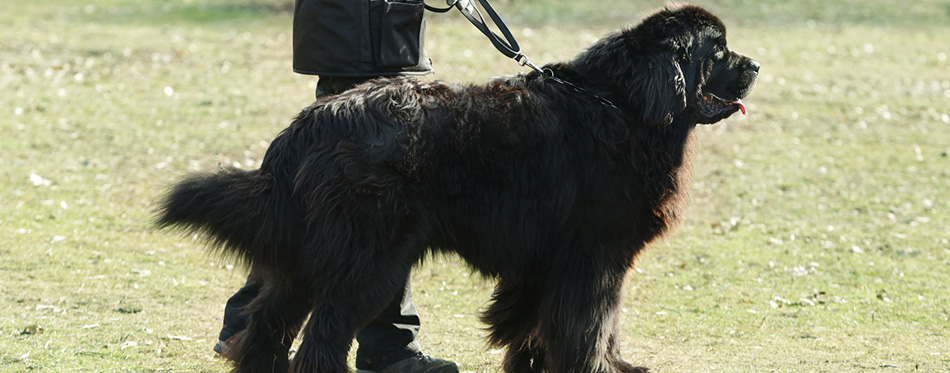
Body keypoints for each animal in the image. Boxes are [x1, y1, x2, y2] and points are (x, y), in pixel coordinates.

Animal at [158, 3, 760, 372]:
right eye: (717, 50)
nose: (755, 64)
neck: (625, 105)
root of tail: (313, 121)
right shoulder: (594, 257)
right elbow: (594, 325)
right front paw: (601, 367)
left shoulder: (546, 264)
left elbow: (536, 327)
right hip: (369, 257)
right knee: (324, 332)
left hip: (310, 251)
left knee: (268, 318)